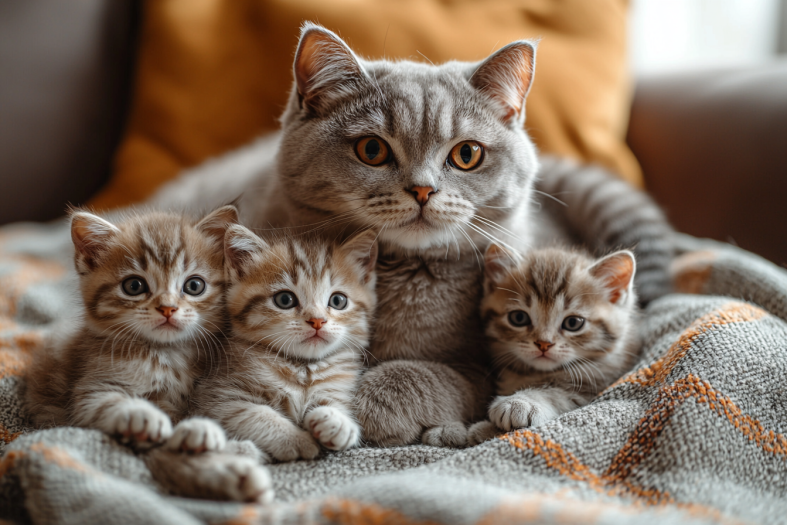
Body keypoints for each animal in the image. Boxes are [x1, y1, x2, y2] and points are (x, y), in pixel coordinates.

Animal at [26, 205, 239, 450]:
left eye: (194, 285)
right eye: (134, 286)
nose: (167, 308)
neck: (168, 355)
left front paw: (199, 428)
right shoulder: (91, 389)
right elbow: (106, 403)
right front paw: (142, 416)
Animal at [190, 225, 376, 458]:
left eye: (338, 300)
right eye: (285, 299)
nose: (317, 320)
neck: (303, 367)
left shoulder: (338, 384)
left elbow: (335, 402)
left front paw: (338, 422)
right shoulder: (217, 396)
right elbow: (254, 414)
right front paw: (298, 440)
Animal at [468, 244, 640, 444]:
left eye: (573, 323)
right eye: (518, 318)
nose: (543, 344)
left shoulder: (592, 386)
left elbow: (557, 393)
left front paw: (517, 404)